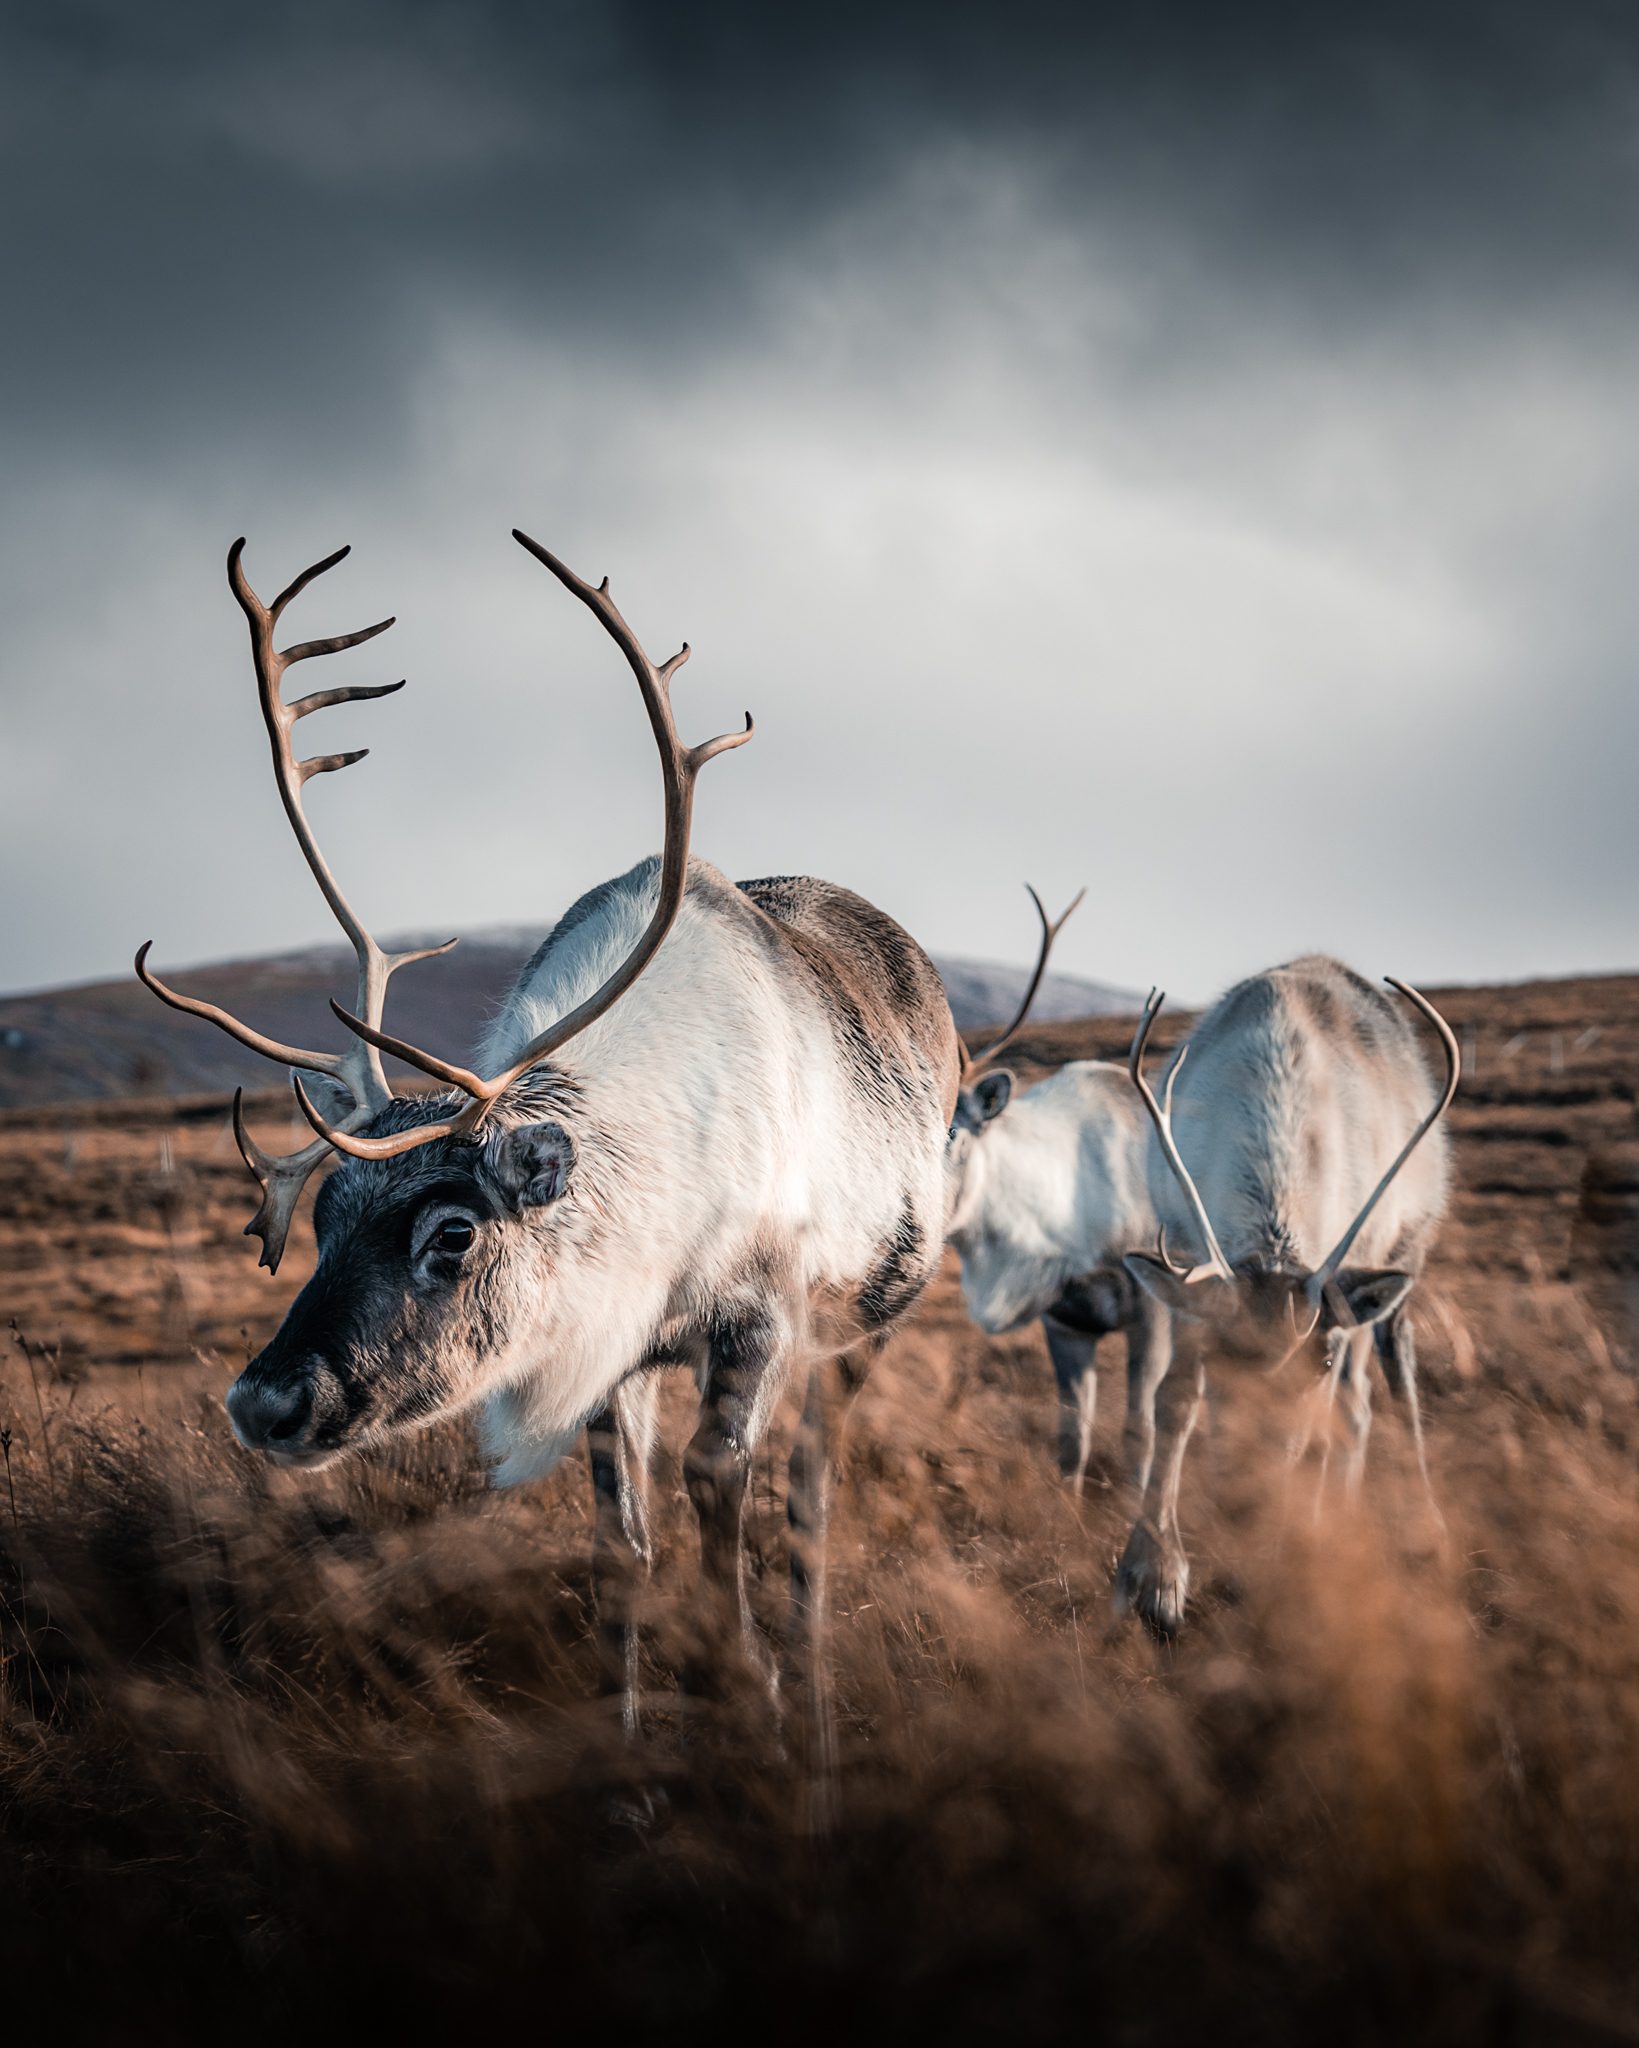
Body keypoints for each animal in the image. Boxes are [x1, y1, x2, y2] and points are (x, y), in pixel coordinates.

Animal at [136, 532, 961, 1737]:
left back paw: (808, 1697)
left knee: (811, 1502)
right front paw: (625, 1751)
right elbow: (622, 1544)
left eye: (454, 1233)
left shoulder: (760, 1318)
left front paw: (752, 1697)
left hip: (867, 1322)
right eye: (322, 1220)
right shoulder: (604, 1344)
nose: (265, 1400)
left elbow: (720, 1487)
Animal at [1114, 957, 1460, 1633]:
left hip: (1402, 1259)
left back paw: (1422, 1526)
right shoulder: (1190, 1259)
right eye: (1219, 1359)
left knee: (1383, 1389)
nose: (1251, 1502)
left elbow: (1328, 1423)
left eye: (1316, 1361)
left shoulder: (1339, 1308)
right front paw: (1154, 1575)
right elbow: (1173, 1402)